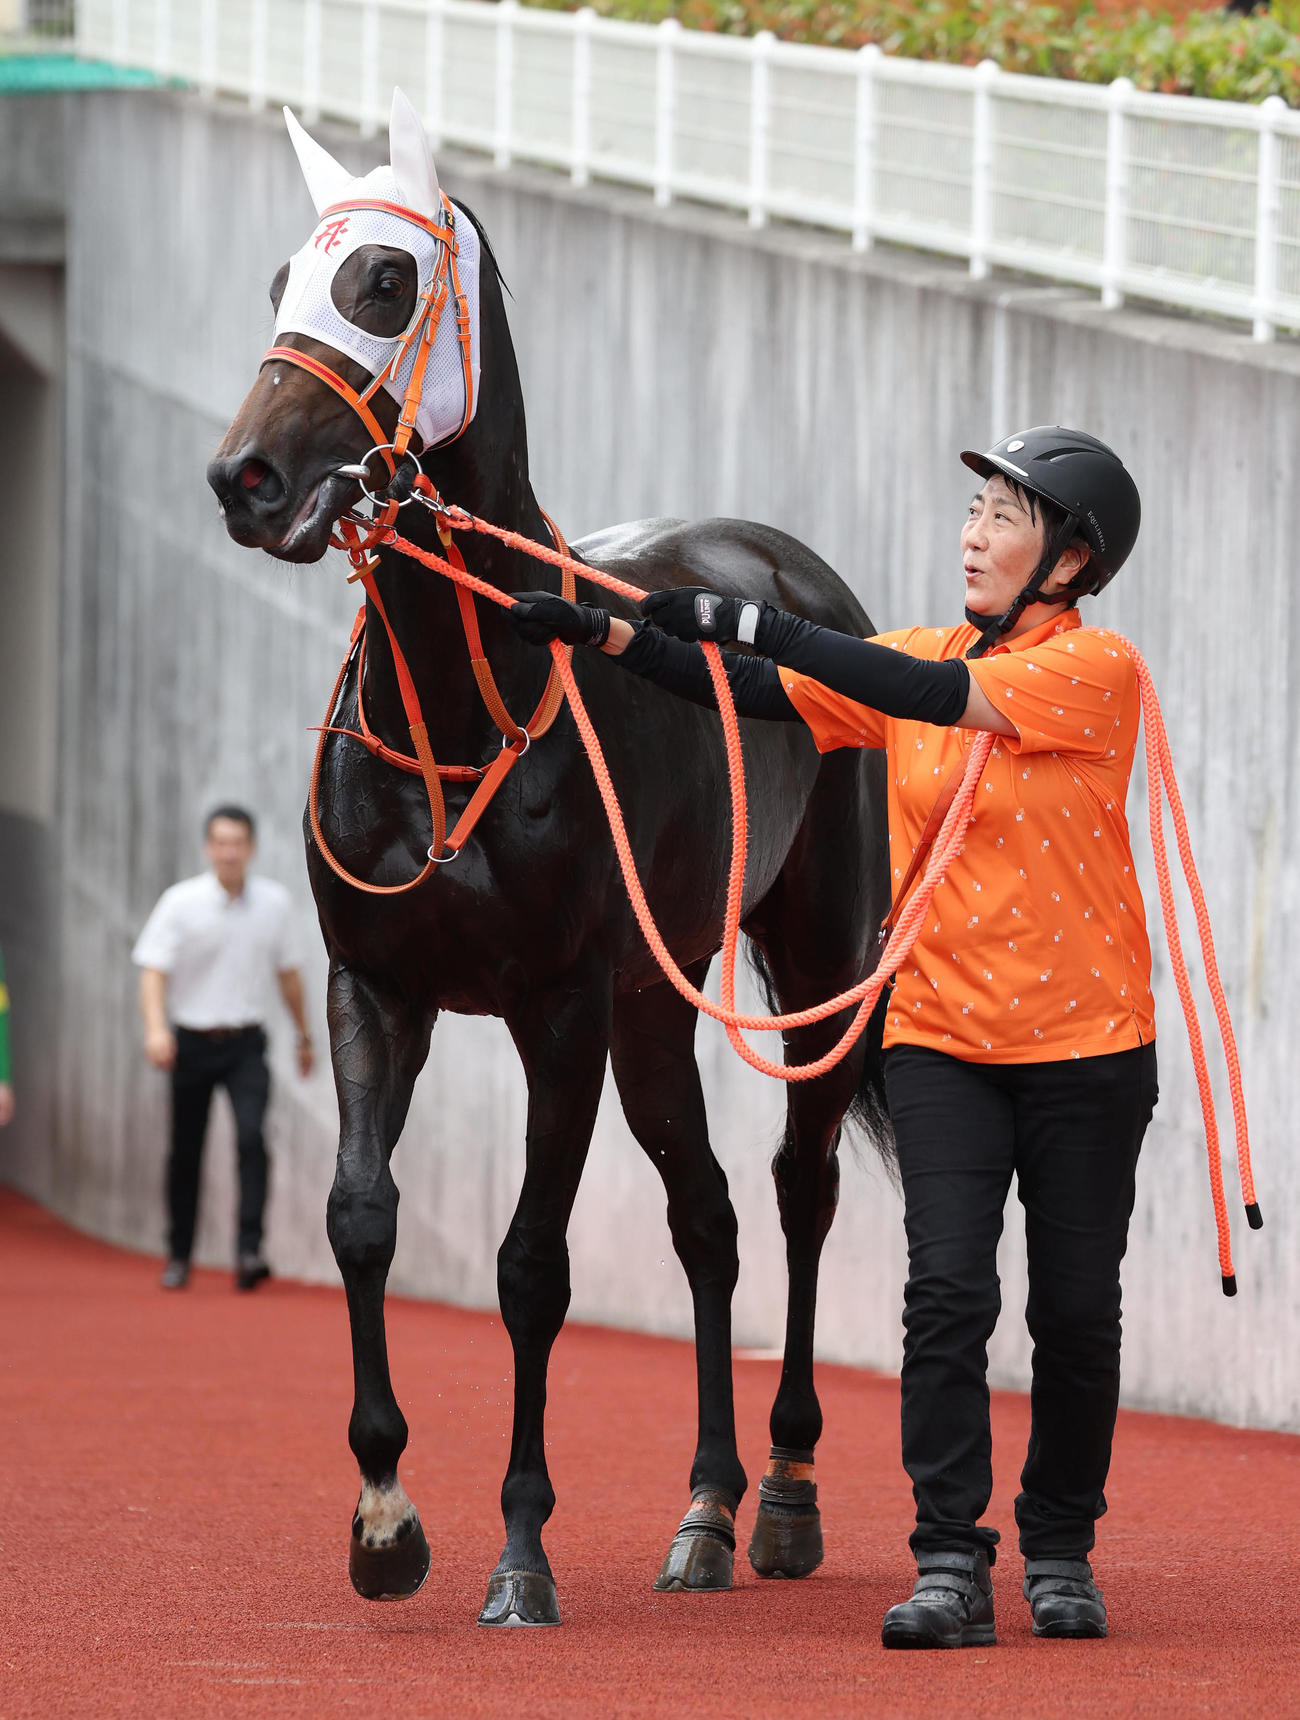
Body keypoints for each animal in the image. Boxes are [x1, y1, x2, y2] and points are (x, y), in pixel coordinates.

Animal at [206, 90, 891, 1627]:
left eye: (384, 283)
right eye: (279, 282)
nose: (244, 479)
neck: (463, 711)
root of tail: (790, 570)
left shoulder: (557, 1006)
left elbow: (531, 1265)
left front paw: (520, 1549)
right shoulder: (376, 983)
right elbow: (358, 1217)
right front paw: (384, 1517)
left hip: (810, 954)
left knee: (799, 1188)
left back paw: (787, 1494)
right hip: (655, 1001)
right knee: (706, 1217)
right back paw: (704, 1511)